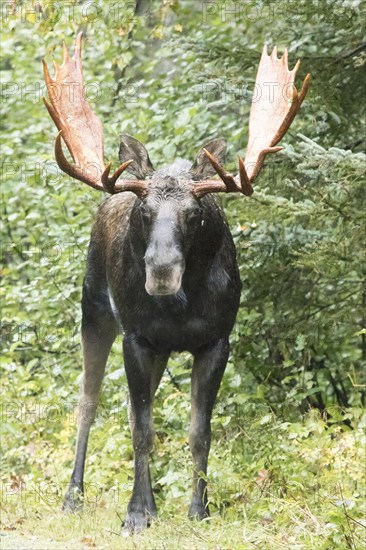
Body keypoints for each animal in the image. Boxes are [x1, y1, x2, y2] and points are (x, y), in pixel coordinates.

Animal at [43, 34, 312, 536]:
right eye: (144, 210)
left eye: (195, 213)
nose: (162, 268)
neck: (182, 308)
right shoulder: (136, 337)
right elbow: (141, 429)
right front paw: (136, 513)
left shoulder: (216, 340)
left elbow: (198, 431)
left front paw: (198, 508)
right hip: (95, 311)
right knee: (88, 401)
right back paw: (73, 496)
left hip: (160, 347)